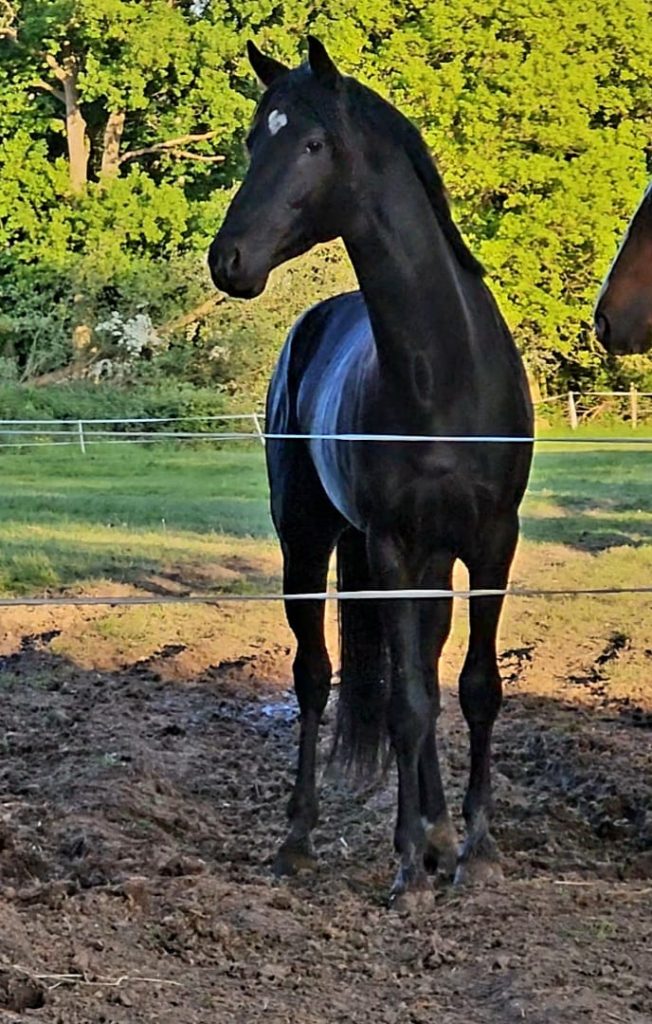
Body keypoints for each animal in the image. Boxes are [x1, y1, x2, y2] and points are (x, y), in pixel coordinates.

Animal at [210, 37, 532, 905]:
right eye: (254, 141)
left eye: (313, 144)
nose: (228, 260)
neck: (441, 374)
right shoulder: (388, 547)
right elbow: (405, 705)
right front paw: (408, 866)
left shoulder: (492, 545)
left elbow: (474, 690)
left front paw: (477, 850)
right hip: (307, 539)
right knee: (318, 677)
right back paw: (300, 841)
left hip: (433, 562)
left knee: (421, 667)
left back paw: (440, 834)